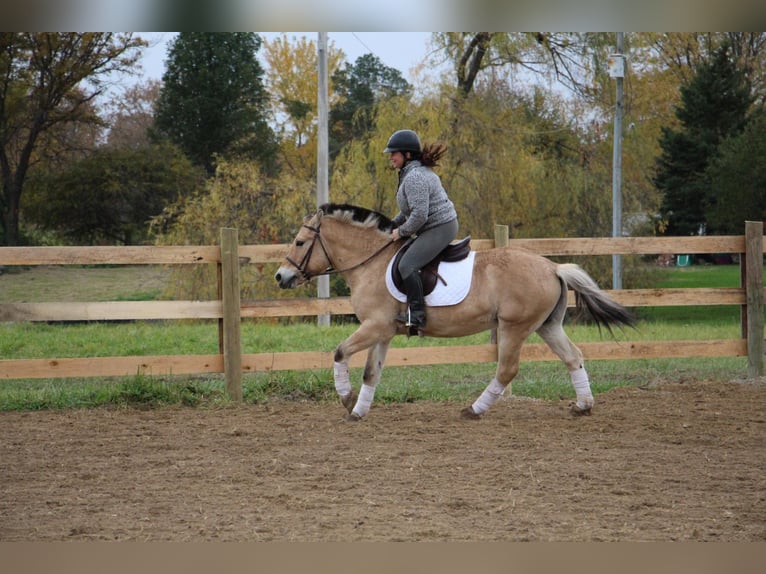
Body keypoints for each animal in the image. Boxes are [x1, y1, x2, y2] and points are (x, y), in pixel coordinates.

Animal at [276, 204, 636, 424]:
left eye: (299, 242)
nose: (281, 277)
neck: (371, 262)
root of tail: (552, 267)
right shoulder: (383, 331)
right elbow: (370, 373)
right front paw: (358, 410)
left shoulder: (375, 326)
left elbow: (339, 353)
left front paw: (347, 399)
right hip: (546, 326)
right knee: (573, 357)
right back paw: (583, 405)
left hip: (514, 328)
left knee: (507, 370)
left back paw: (474, 410)